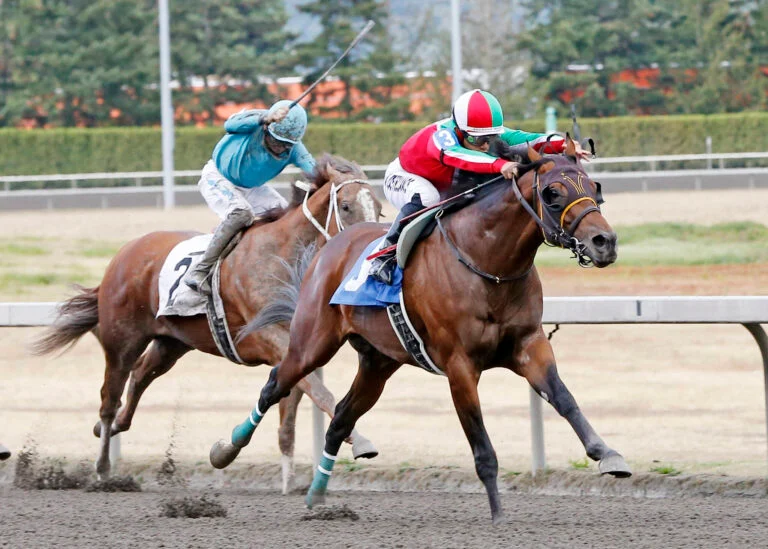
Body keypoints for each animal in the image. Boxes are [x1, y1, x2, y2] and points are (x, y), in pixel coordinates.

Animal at [31, 154, 383, 489]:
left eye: (379, 208)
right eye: (346, 206)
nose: (366, 247)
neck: (283, 257)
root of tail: (124, 253)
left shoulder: (300, 341)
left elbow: (295, 406)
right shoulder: (269, 335)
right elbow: (318, 391)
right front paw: (361, 440)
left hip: (172, 342)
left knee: (141, 375)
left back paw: (114, 426)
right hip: (122, 340)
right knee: (110, 396)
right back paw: (103, 467)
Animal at [210, 136, 630, 523]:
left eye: (594, 187)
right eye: (552, 193)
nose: (604, 242)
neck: (488, 264)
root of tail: (330, 246)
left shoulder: (529, 346)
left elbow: (565, 399)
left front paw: (608, 455)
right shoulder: (460, 366)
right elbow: (482, 447)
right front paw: (497, 516)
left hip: (378, 362)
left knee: (341, 417)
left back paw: (317, 496)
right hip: (312, 342)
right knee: (276, 385)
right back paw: (224, 451)